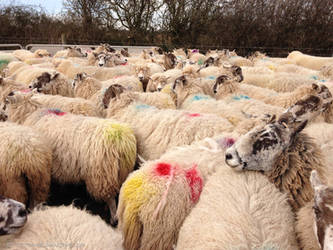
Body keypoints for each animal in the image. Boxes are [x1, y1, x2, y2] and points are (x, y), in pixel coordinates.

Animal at [3, 91, 136, 226]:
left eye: (7, 102)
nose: (3, 115)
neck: (31, 114)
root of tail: (122, 140)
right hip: (120, 172)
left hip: (102, 173)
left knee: (110, 198)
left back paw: (113, 217)